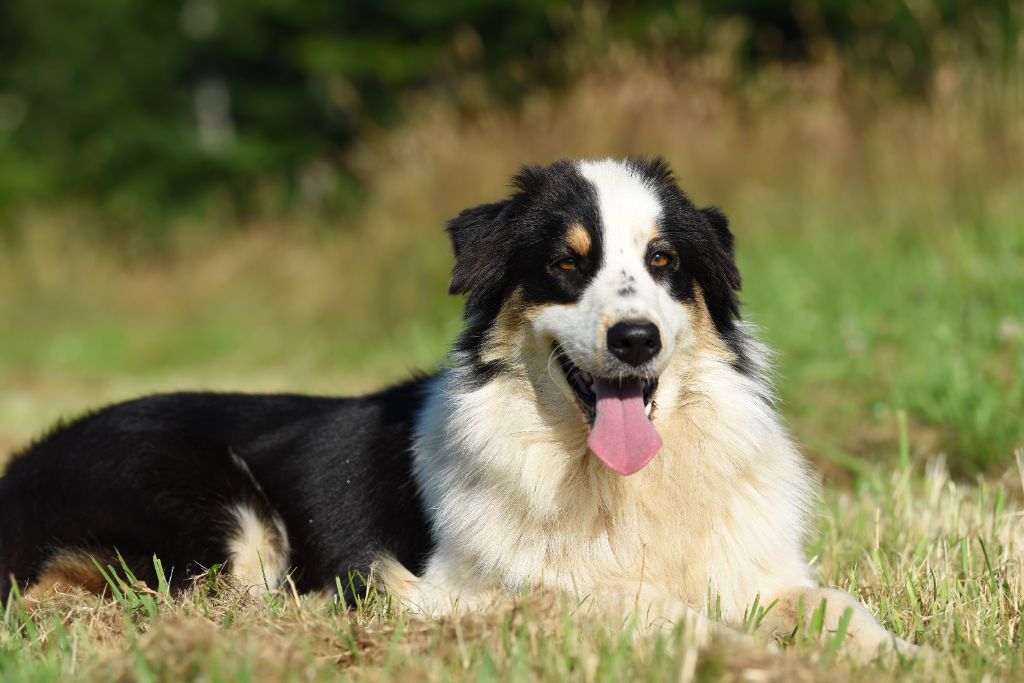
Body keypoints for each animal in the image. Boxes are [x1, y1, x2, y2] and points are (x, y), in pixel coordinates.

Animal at [0, 157, 913, 659]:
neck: (614, 482)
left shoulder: (757, 570)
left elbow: (837, 607)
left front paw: (901, 652)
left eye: (664, 261)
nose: (635, 339)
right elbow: (621, 600)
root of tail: (17, 466)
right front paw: (725, 645)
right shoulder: (464, 580)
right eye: (564, 263)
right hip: (214, 504)